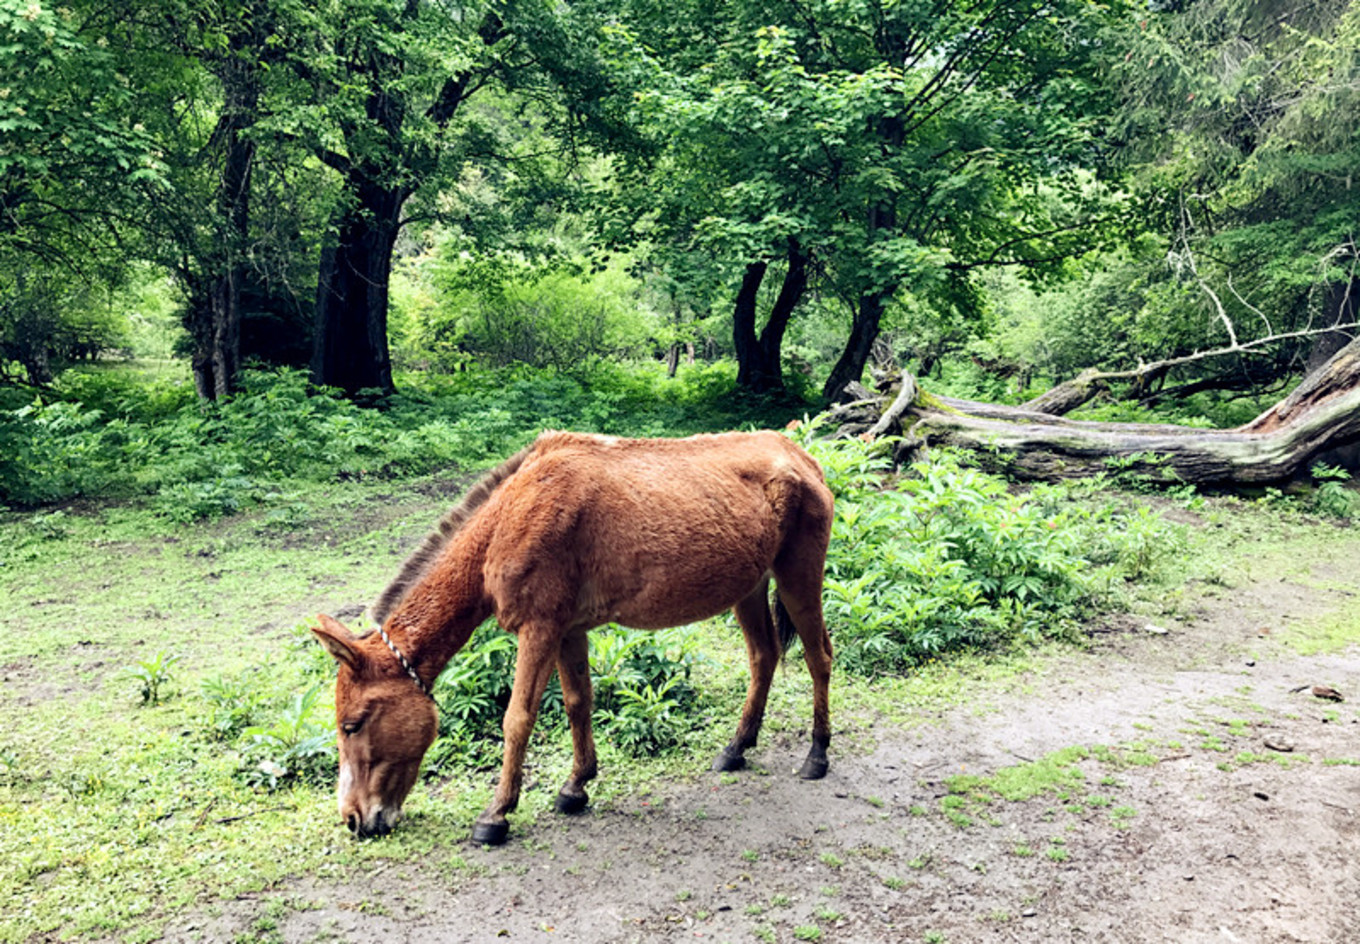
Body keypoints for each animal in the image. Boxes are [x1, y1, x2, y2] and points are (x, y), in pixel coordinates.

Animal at [312, 432, 832, 848]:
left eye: (351, 725)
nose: (354, 819)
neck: (509, 517)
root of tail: (802, 457)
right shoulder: (568, 631)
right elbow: (578, 703)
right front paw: (576, 786)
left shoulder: (538, 629)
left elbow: (517, 719)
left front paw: (496, 814)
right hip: (749, 587)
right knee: (763, 657)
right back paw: (736, 748)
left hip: (797, 579)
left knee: (819, 658)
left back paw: (817, 755)